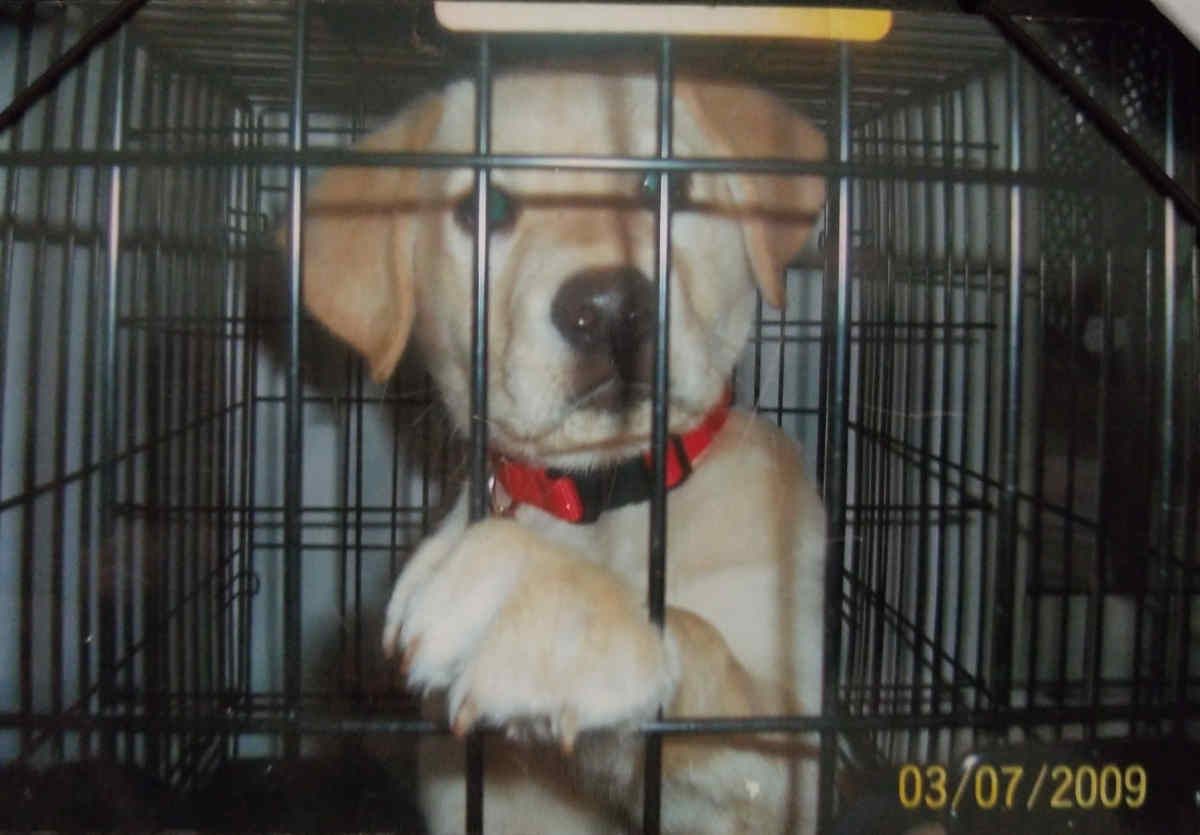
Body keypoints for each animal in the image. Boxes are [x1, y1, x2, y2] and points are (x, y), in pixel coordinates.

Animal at [295, 70, 830, 835]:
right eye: (485, 207)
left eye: (666, 186)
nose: (608, 308)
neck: (608, 491)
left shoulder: (794, 759)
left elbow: (705, 650)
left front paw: (552, 605)